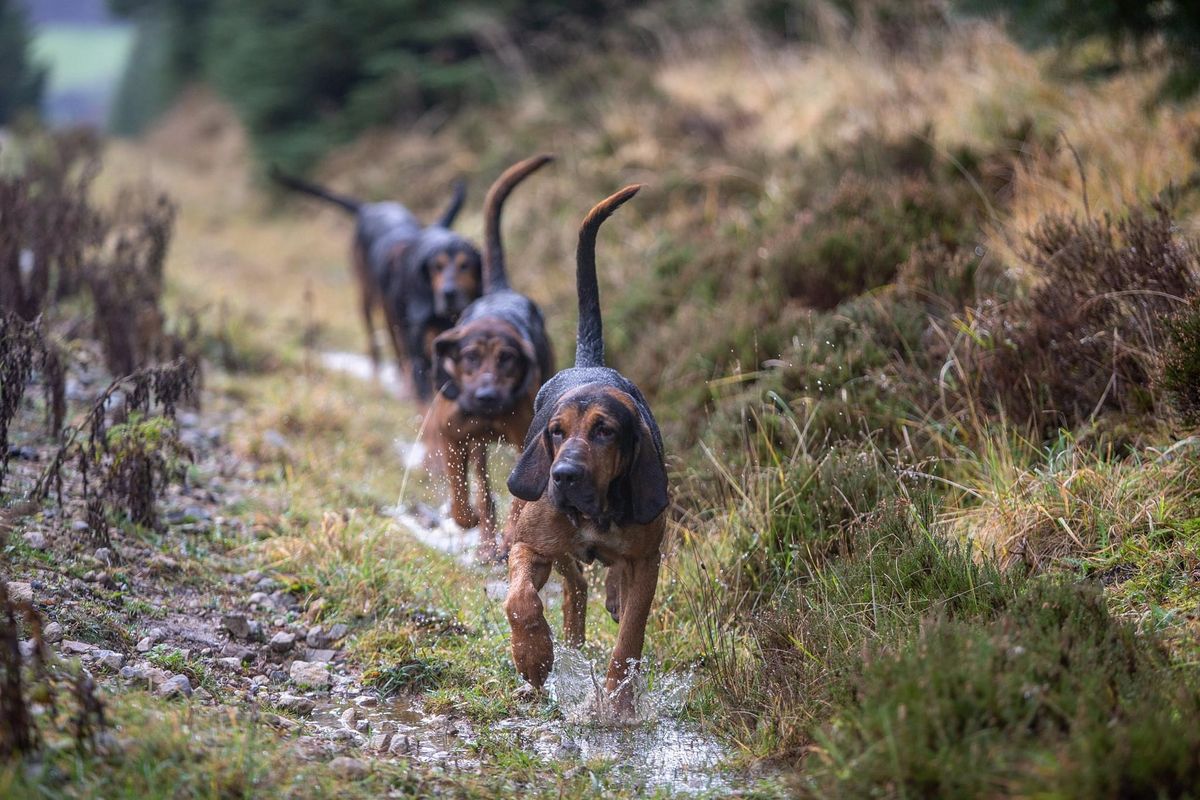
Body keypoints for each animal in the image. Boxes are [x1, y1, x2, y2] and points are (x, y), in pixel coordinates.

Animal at [270, 166, 480, 400]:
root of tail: (370, 208)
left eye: (465, 265)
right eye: (437, 266)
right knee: (381, 345)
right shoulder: (415, 341)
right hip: (369, 301)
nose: (449, 292)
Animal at [427, 154, 556, 556]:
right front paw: (466, 518)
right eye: (468, 357)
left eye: (507, 359)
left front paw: (511, 537)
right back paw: (483, 540)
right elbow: (460, 493)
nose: (486, 396)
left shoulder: (527, 447)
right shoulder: (450, 434)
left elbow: (519, 500)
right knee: (483, 488)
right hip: (477, 444)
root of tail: (500, 289)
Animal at [501, 184, 672, 714]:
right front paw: (534, 658)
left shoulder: (647, 562)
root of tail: (587, 362)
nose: (564, 476)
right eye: (555, 431)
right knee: (573, 583)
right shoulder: (528, 543)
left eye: (605, 432)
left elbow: (630, 637)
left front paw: (617, 706)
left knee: (602, 583)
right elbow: (520, 602)